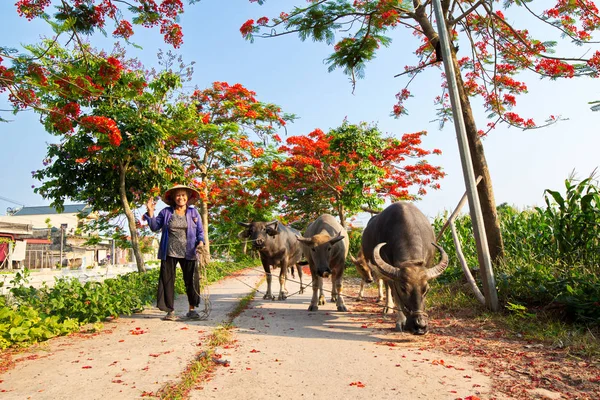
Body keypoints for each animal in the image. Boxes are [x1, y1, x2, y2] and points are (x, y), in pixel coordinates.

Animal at [360, 200, 446, 334]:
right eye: (403, 288)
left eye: (426, 289)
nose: (420, 325)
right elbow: (396, 296)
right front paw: (400, 321)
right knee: (387, 286)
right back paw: (388, 307)